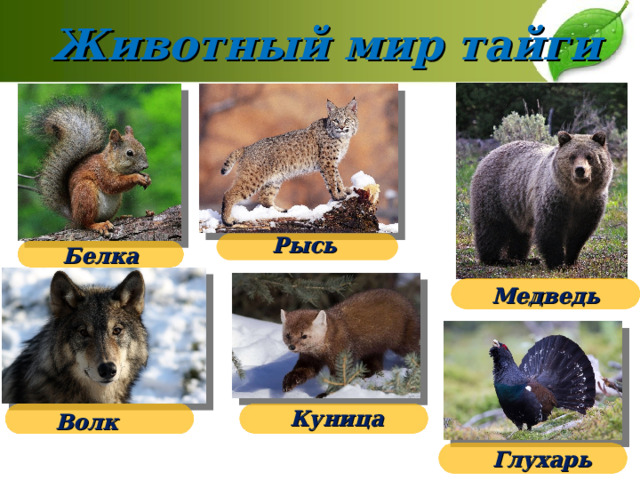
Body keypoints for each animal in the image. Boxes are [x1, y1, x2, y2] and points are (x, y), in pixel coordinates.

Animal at [27, 98, 151, 236]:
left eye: (143, 148)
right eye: (129, 153)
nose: (145, 166)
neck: (109, 162)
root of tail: (74, 216)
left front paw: (147, 178)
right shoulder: (101, 172)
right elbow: (113, 183)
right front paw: (137, 177)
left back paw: (119, 218)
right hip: (86, 192)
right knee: (86, 223)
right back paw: (98, 225)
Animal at [470, 131, 613, 269]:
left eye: (590, 156)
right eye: (572, 156)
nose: (580, 170)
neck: (577, 194)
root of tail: (489, 154)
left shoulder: (591, 204)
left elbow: (579, 235)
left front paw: (571, 260)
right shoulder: (554, 200)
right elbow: (550, 230)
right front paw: (557, 263)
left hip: (517, 207)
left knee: (521, 234)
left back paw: (523, 259)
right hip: (495, 194)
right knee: (491, 228)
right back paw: (496, 260)